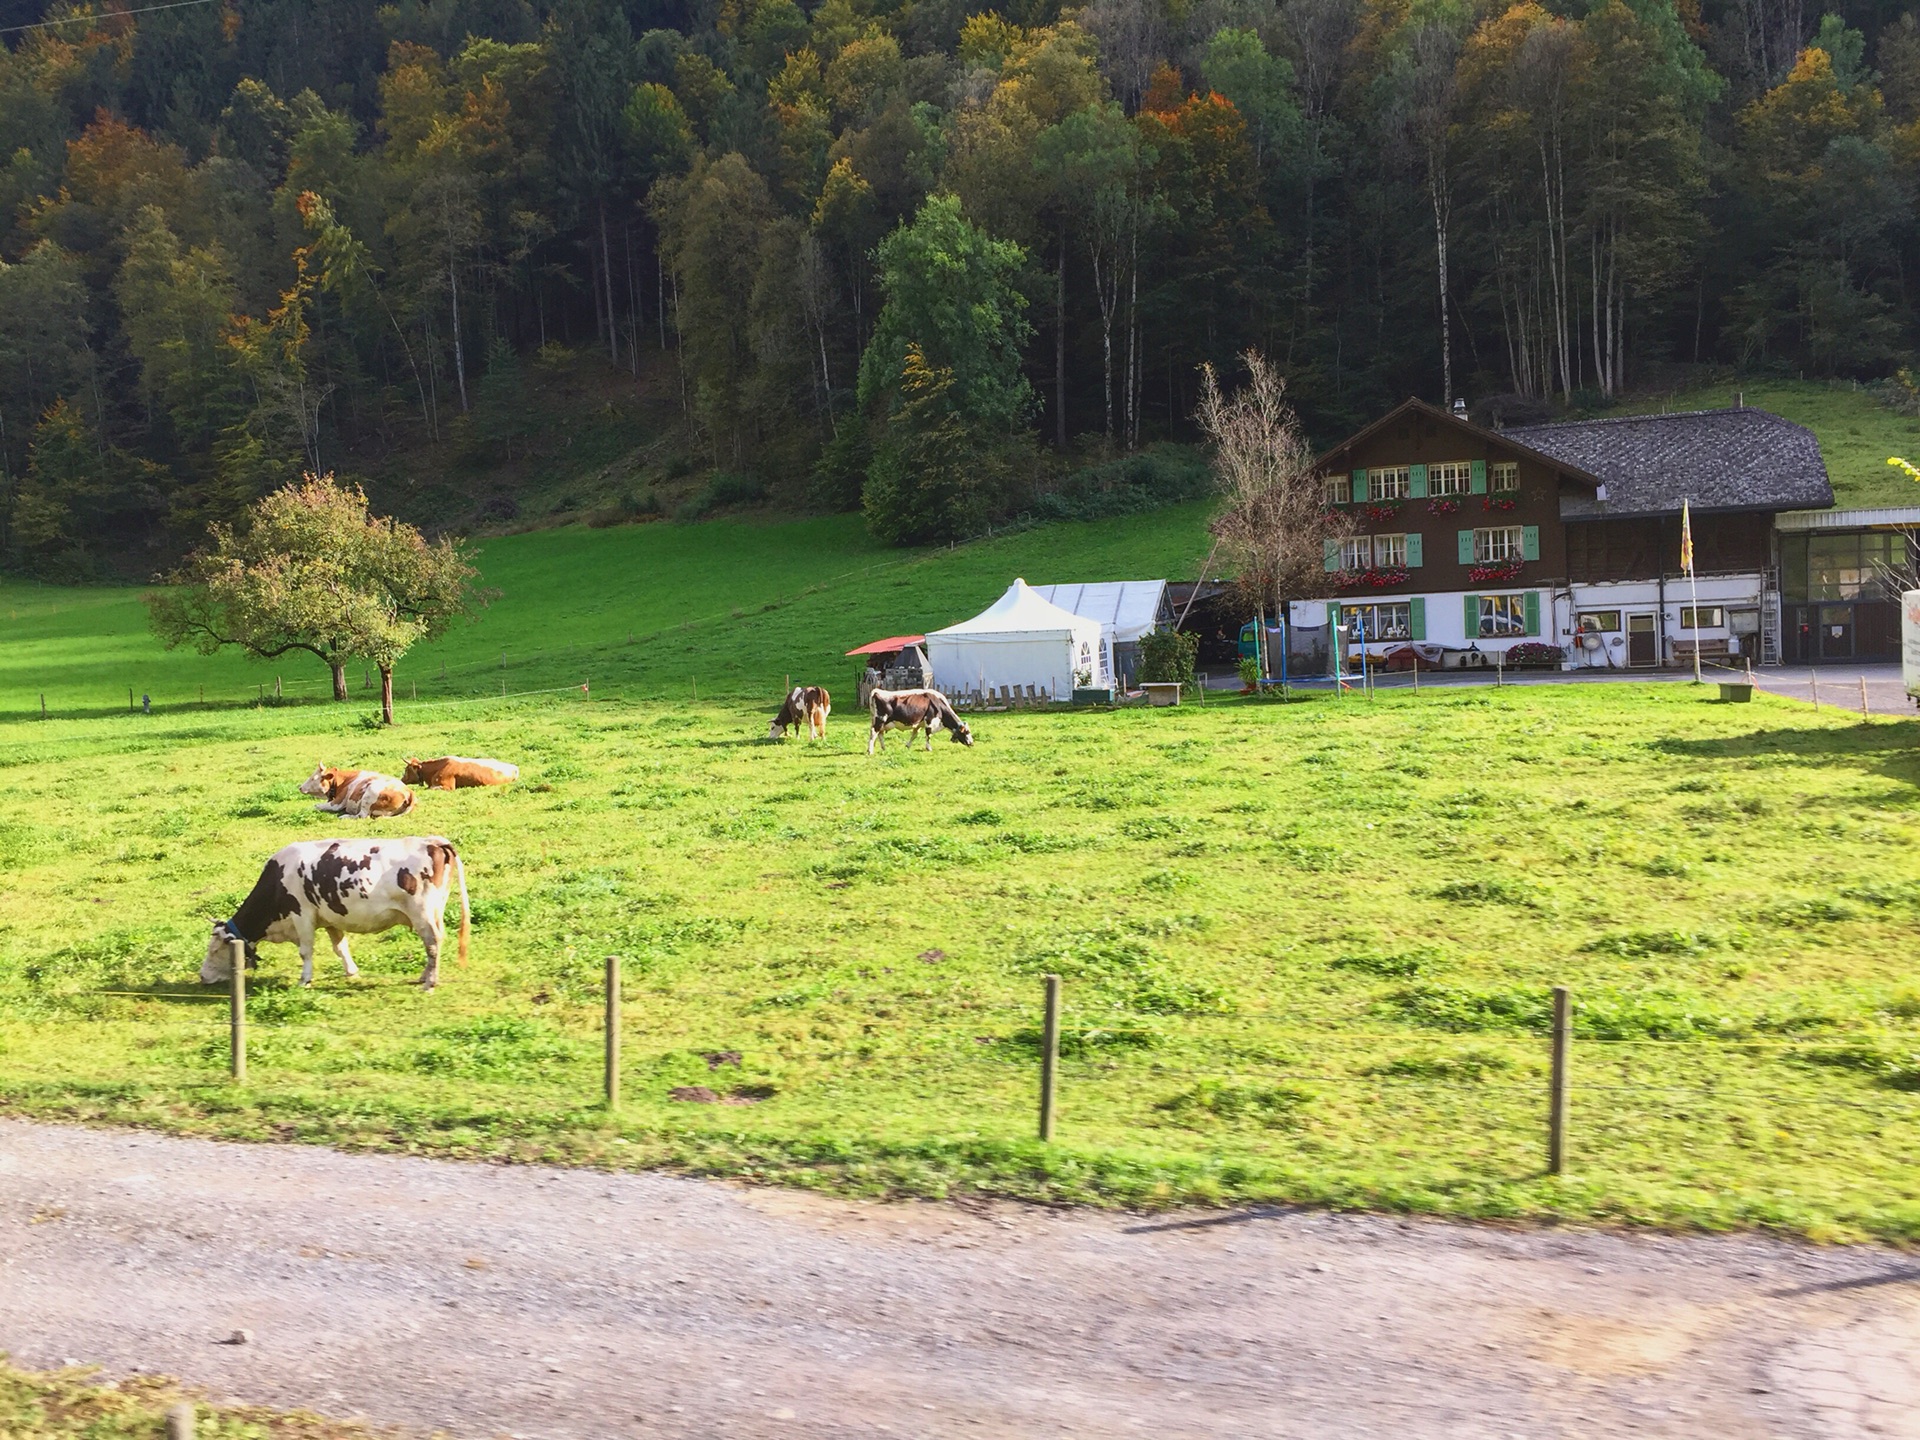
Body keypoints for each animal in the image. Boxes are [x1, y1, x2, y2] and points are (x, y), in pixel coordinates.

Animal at [201, 833, 472, 990]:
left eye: (215, 950)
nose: (202, 977)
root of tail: (434, 841)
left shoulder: (302, 914)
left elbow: (306, 951)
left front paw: (304, 980)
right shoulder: (330, 917)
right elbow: (340, 947)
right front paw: (352, 972)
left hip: (422, 911)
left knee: (432, 943)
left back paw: (430, 983)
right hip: (435, 909)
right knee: (436, 941)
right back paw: (424, 976)